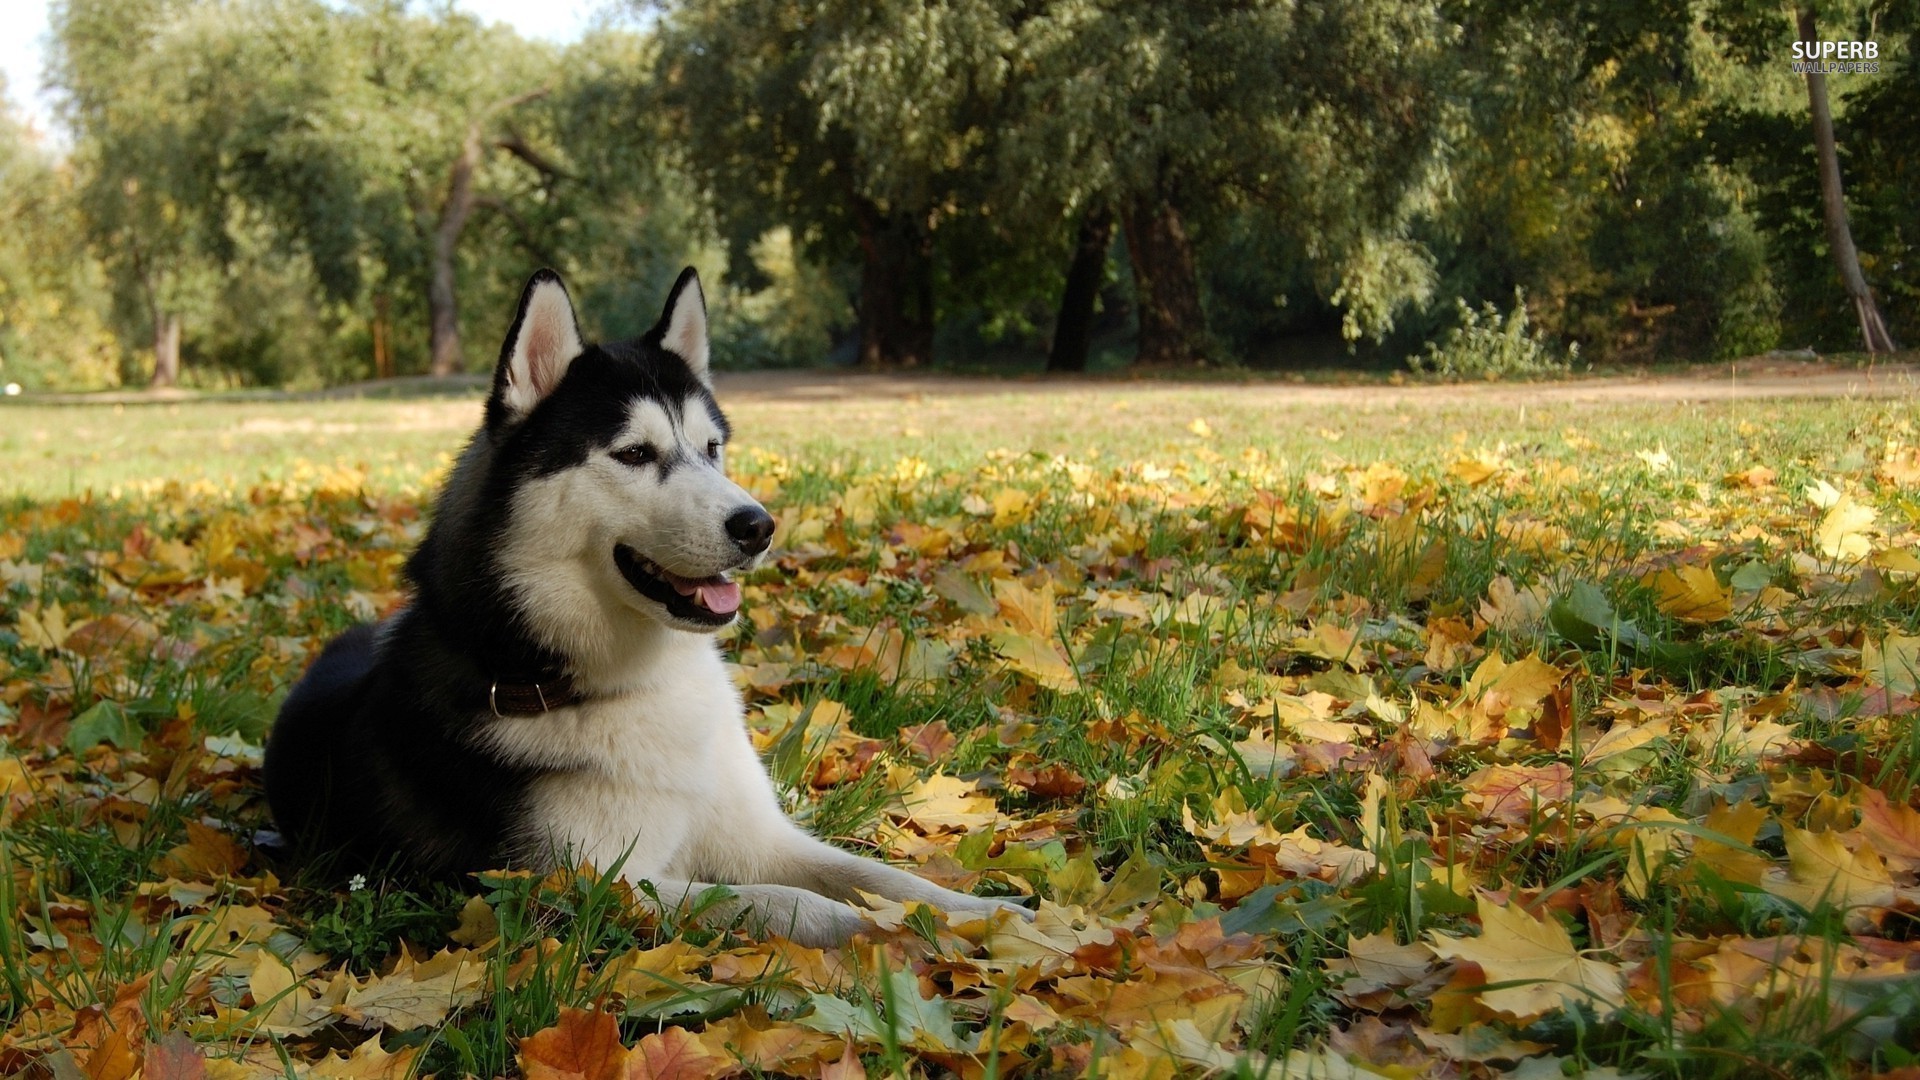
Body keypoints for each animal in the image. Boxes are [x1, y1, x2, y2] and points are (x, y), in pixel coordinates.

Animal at [266, 269, 1036, 941]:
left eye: (713, 448)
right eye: (635, 453)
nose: (758, 526)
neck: (634, 684)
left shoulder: (757, 838)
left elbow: (885, 877)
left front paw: (989, 916)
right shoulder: (577, 882)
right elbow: (773, 901)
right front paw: (877, 931)